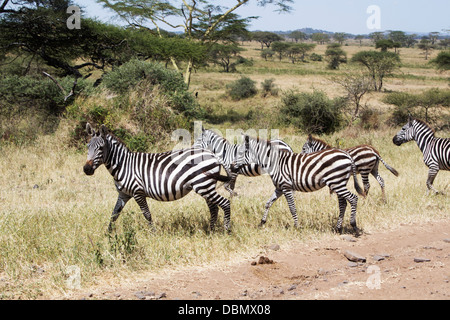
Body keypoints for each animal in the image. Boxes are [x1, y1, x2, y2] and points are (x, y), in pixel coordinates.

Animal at [82, 123, 234, 232]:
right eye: (88, 146)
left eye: (101, 148)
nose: (86, 169)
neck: (123, 165)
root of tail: (213, 154)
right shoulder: (123, 194)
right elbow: (114, 214)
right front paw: (108, 236)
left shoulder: (138, 192)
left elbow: (147, 214)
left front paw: (153, 233)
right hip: (206, 186)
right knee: (214, 208)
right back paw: (211, 231)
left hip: (204, 186)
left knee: (225, 203)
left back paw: (226, 230)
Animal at [236, 134, 366, 235]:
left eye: (240, 153)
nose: (232, 166)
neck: (275, 163)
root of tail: (347, 155)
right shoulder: (279, 188)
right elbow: (268, 203)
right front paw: (261, 223)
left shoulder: (286, 187)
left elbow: (292, 208)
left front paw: (296, 226)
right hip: (338, 183)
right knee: (343, 203)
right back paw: (338, 228)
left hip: (337, 182)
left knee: (353, 198)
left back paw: (354, 226)